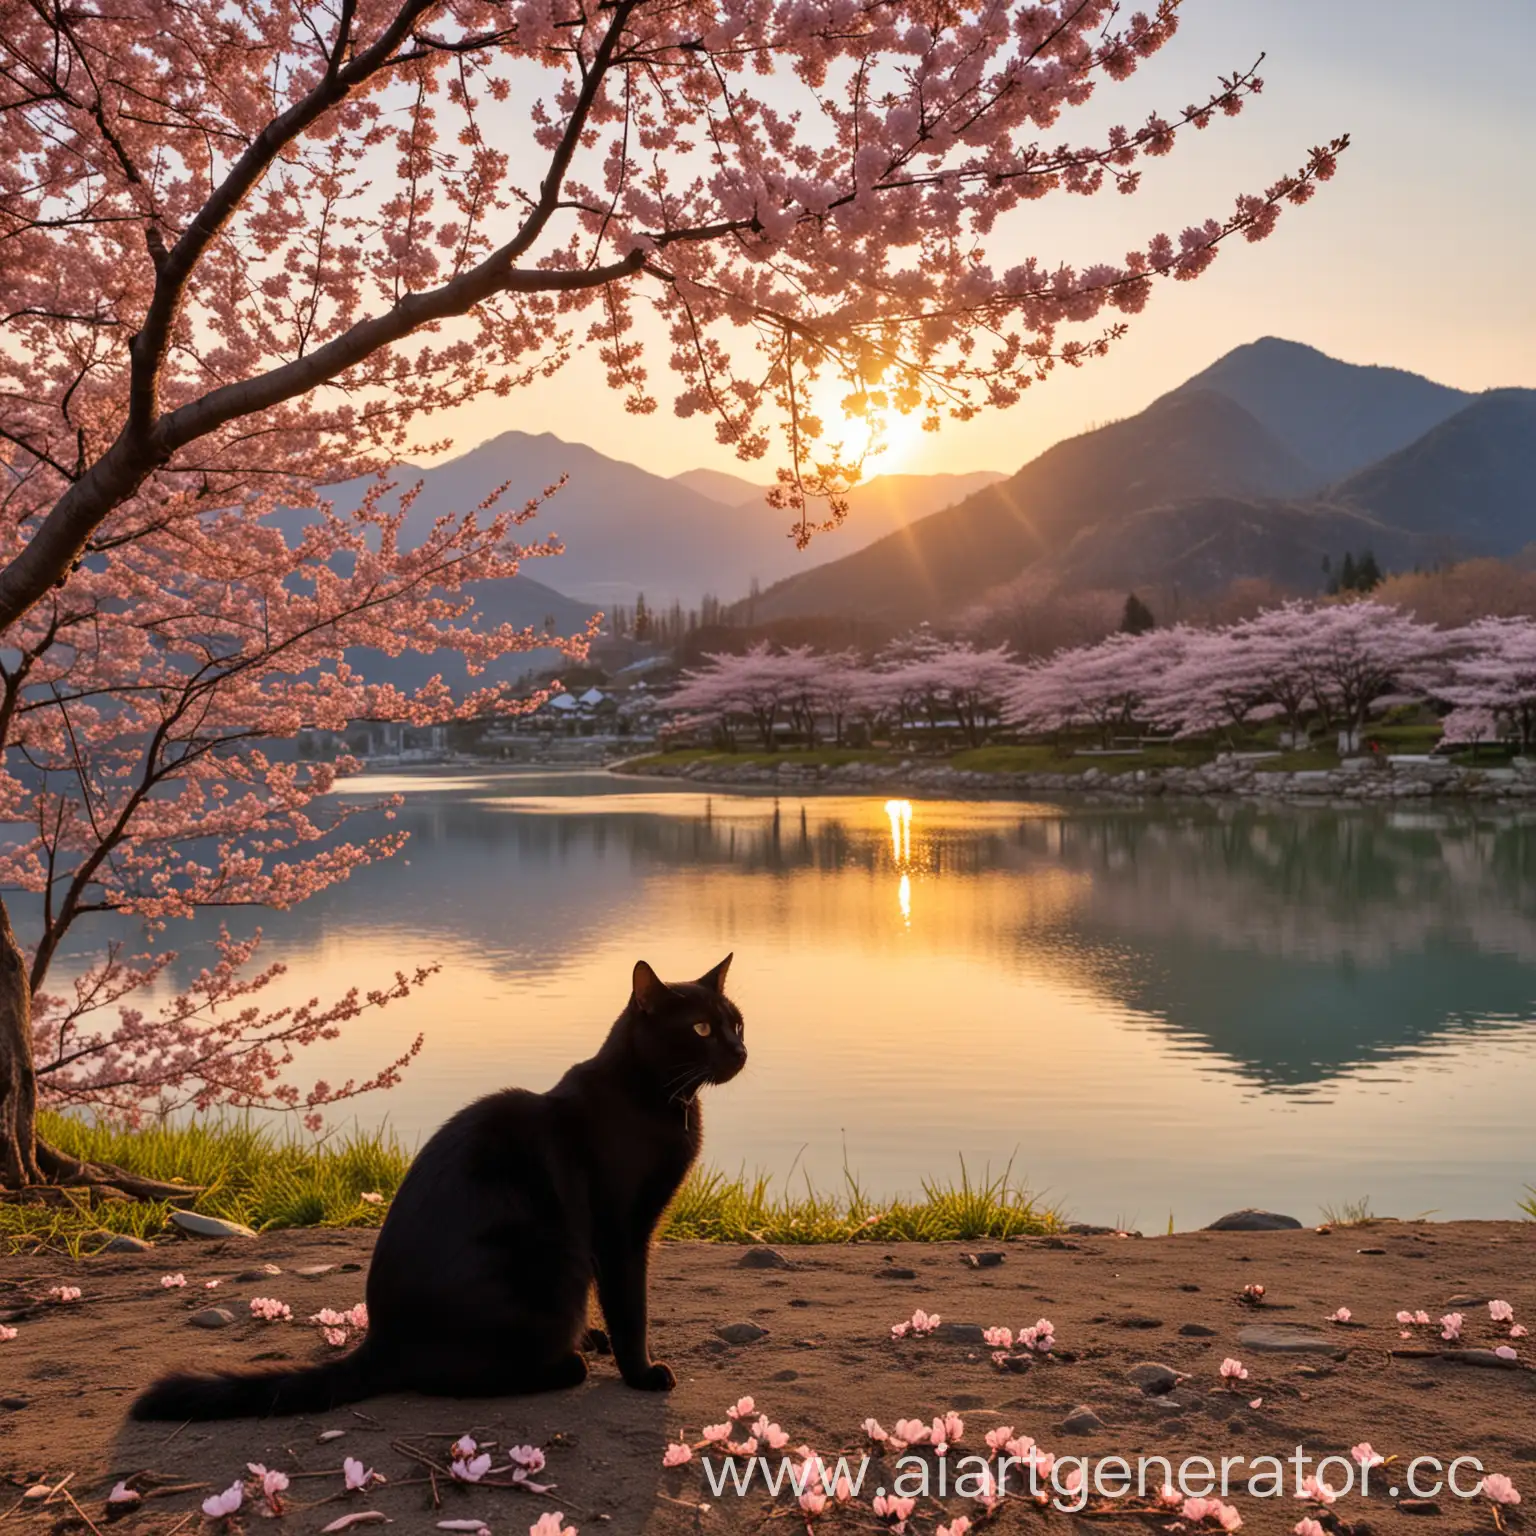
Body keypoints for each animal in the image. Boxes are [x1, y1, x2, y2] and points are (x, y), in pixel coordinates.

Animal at [135, 952, 746, 1419]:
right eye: (700, 1028)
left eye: (736, 1022)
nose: (741, 1051)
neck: (659, 1101)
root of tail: (379, 1340)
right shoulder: (621, 1231)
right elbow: (629, 1307)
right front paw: (641, 1372)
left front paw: (607, 1342)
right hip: (539, 1264)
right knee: (456, 1375)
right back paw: (567, 1360)